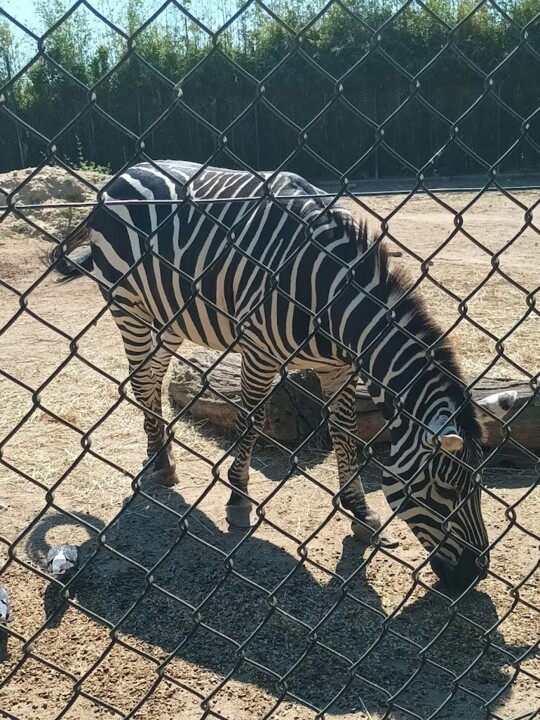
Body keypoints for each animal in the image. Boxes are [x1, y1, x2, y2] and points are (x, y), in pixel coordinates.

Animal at [49, 160, 516, 591]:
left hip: (169, 317)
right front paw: (239, 501)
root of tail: (125, 172)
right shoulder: (259, 354)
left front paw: (361, 514)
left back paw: (160, 455)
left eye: (479, 489)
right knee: (143, 380)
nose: (475, 575)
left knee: (154, 379)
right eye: (445, 491)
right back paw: (160, 463)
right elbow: (251, 421)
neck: (332, 301)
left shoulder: (340, 369)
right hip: (128, 306)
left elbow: (345, 434)